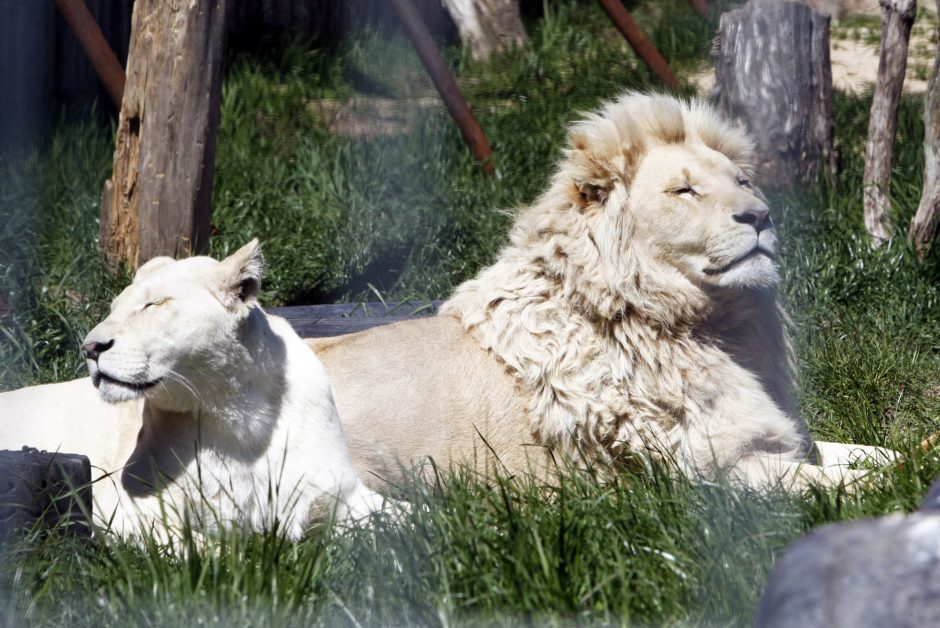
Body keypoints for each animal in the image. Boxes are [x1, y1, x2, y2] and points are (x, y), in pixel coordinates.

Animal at [0, 240, 384, 540]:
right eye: (113, 309)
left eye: (153, 304)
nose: (90, 347)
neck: (242, 418)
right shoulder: (127, 512)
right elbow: (216, 555)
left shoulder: (345, 491)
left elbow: (396, 520)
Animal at [312, 89, 892, 490]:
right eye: (684, 190)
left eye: (743, 182)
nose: (760, 216)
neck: (717, 326)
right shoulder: (708, 473)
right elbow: (852, 484)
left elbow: (868, 454)